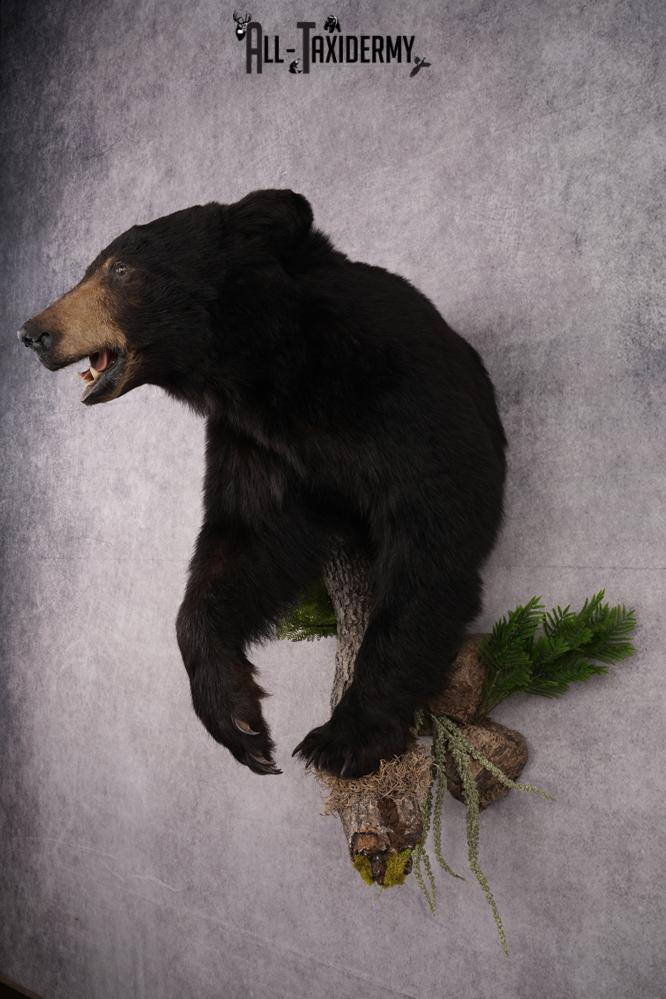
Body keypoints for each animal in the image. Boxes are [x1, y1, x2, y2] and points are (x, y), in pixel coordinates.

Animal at [18, 189, 507, 778]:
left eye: (120, 269)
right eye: (92, 267)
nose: (33, 332)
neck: (275, 368)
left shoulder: (404, 402)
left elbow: (431, 539)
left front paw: (345, 736)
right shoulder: (257, 443)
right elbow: (250, 539)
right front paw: (240, 722)